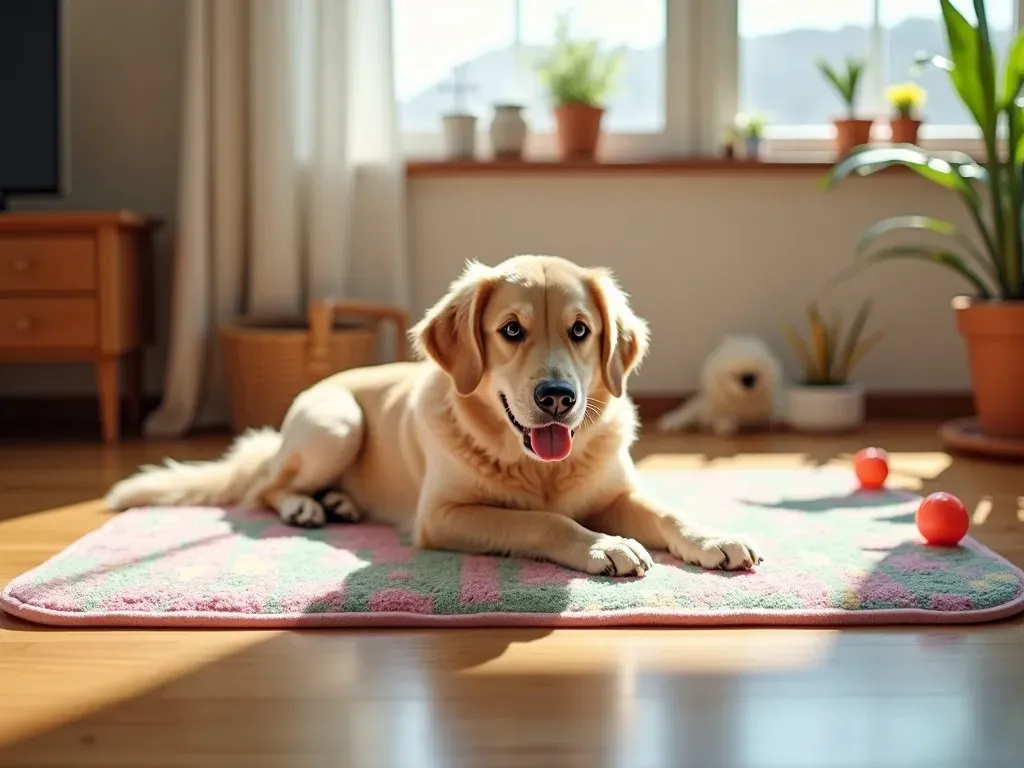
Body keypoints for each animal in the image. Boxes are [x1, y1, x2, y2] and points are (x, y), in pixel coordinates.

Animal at [108, 256, 761, 573]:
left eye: (581, 331)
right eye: (511, 330)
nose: (558, 397)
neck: (538, 467)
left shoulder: (616, 491)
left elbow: (670, 512)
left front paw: (714, 537)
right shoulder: (443, 516)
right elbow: (545, 521)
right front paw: (605, 546)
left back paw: (339, 502)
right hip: (336, 425)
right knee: (263, 490)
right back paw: (303, 506)